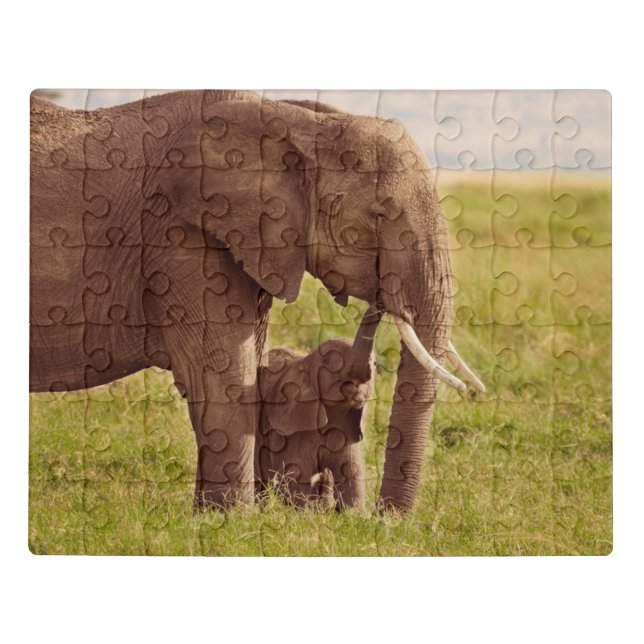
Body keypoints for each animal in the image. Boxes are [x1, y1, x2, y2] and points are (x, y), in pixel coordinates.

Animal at [256, 313, 376, 510]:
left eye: (375, 364)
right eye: (328, 361)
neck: (306, 361)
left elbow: (351, 473)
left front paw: (353, 514)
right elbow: (299, 476)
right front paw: (302, 513)